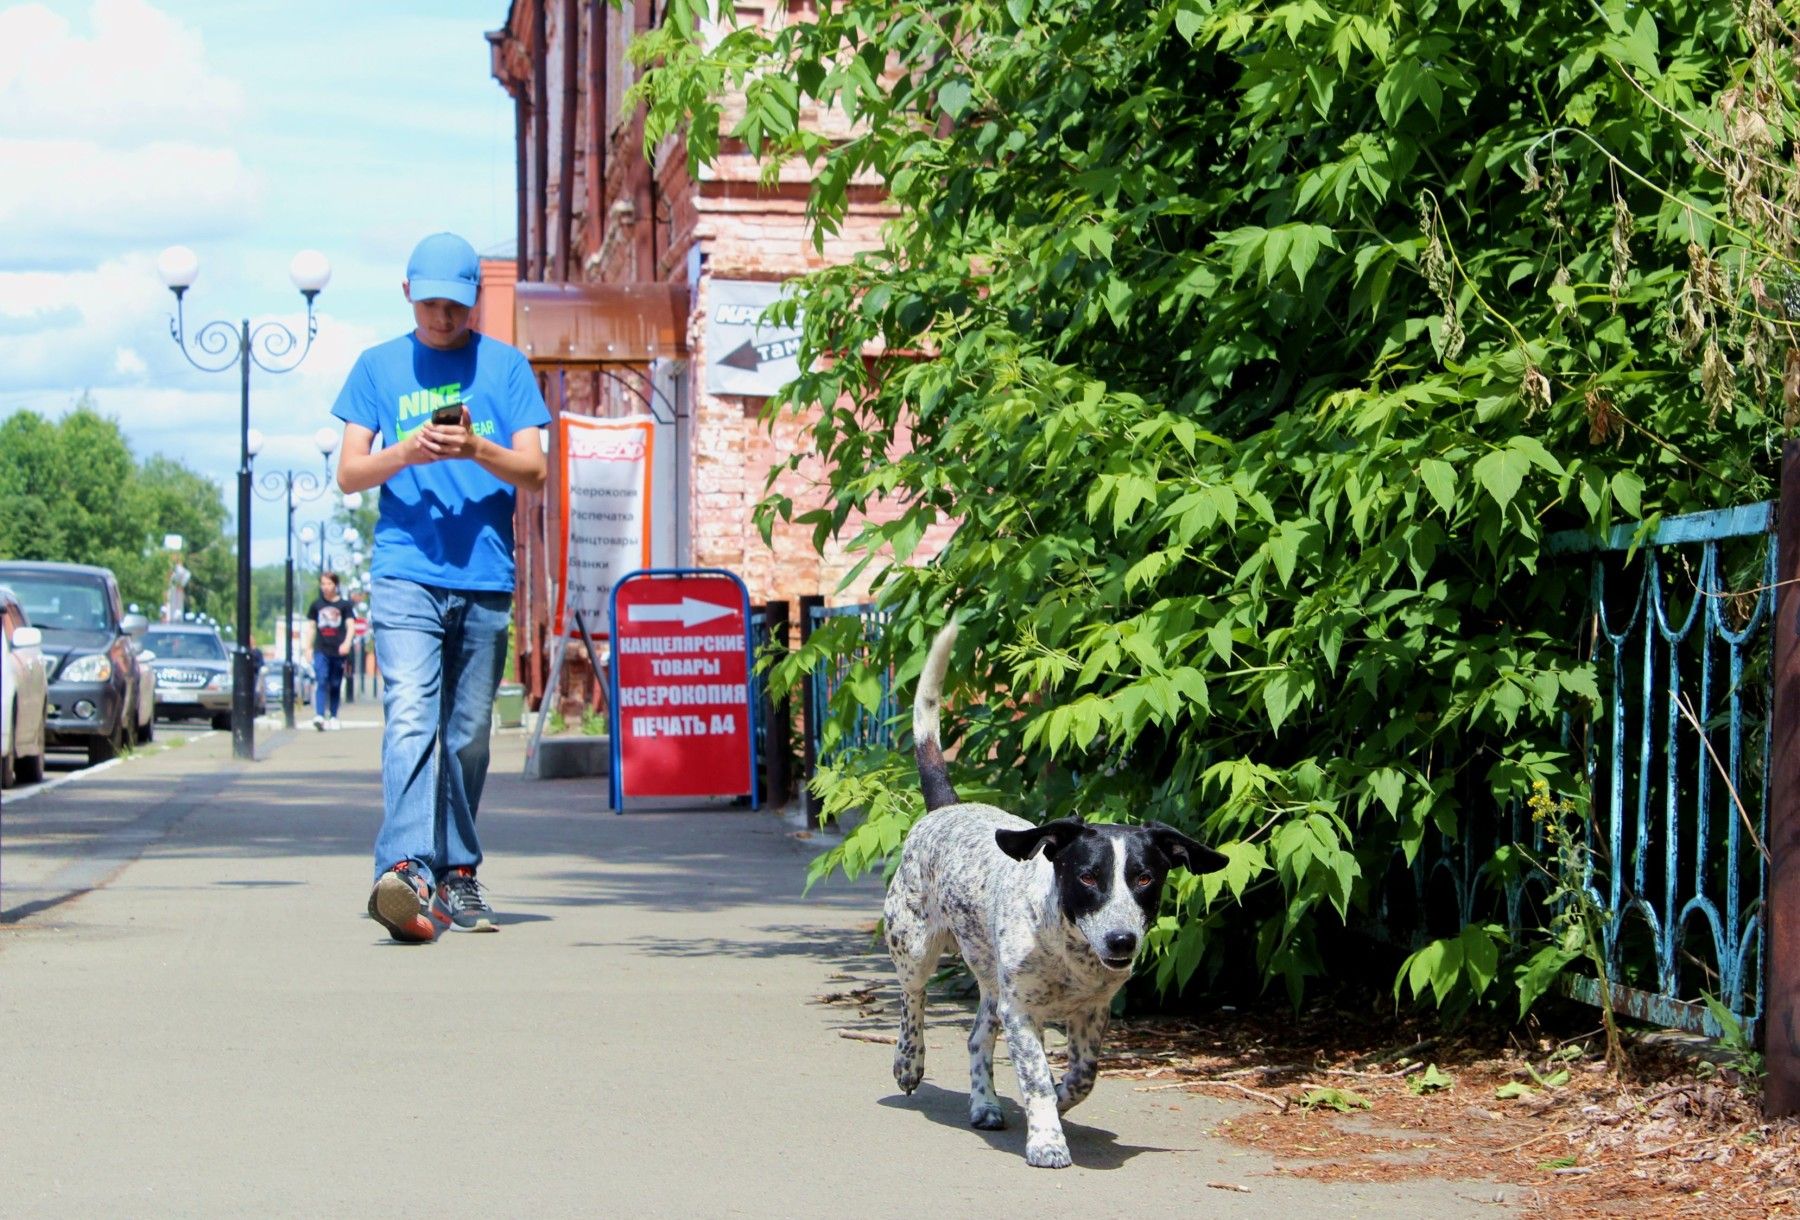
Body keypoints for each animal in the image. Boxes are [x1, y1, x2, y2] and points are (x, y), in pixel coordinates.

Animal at [882, 626, 1231, 1173]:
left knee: (977, 1039)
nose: (1122, 940)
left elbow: (1082, 1075)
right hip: (914, 947)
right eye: (1087, 877)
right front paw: (1046, 1138)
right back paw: (908, 1063)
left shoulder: (1091, 1013)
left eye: (1145, 879)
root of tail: (947, 808)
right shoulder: (1023, 1014)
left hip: (992, 984)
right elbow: (1037, 1078)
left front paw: (1060, 1101)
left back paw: (985, 1104)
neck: (1069, 953)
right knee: (911, 1002)